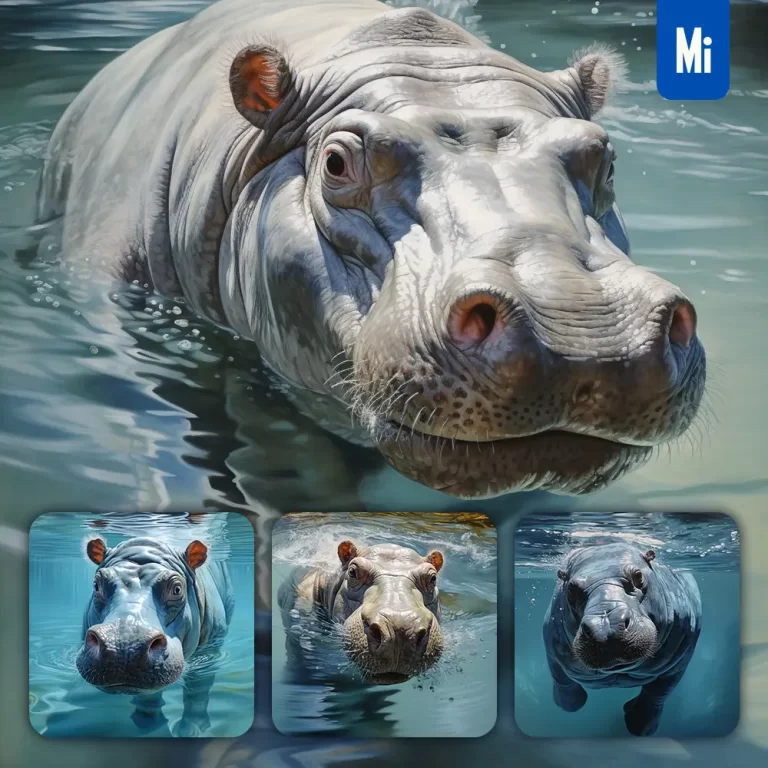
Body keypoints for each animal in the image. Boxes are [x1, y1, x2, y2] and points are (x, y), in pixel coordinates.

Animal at [77, 536, 234, 735]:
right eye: (96, 585)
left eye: (177, 589)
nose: (124, 645)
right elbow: (149, 696)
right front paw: (150, 724)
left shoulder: (210, 651)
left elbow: (198, 689)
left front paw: (190, 730)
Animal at [543, 543, 702, 736]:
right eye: (571, 590)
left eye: (638, 576)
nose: (605, 625)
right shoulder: (551, 643)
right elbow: (562, 682)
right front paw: (568, 701)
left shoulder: (683, 652)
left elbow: (659, 691)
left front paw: (639, 725)